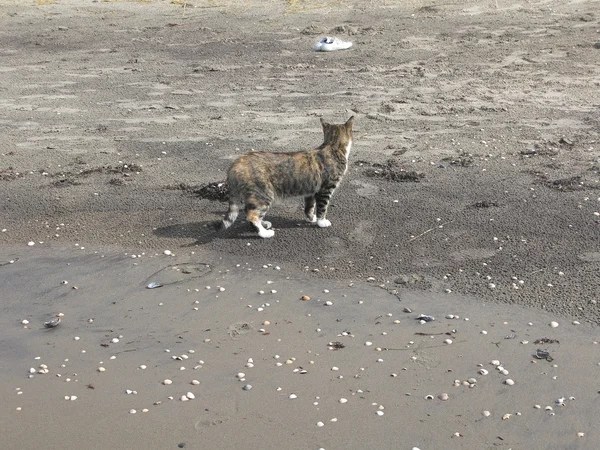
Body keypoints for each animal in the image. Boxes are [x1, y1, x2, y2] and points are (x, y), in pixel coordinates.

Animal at [221, 115, 354, 239]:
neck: (332, 146)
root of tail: (236, 163)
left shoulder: (311, 191)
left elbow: (309, 207)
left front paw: (311, 218)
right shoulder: (325, 189)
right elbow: (322, 207)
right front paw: (321, 222)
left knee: (253, 213)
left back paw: (263, 224)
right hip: (264, 193)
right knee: (252, 215)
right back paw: (264, 233)